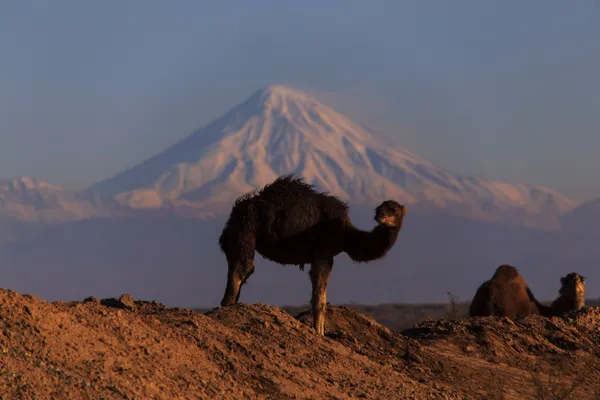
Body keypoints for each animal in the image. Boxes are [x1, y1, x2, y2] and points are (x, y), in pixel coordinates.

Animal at [216, 174, 408, 334]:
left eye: (395, 210)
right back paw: (227, 308)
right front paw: (319, 334)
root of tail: (235, 212)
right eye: (380, 208)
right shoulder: (323, 253)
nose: (379, 216)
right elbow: (319, 300)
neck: (345, 234)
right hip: (245, 232)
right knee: (242, 268)